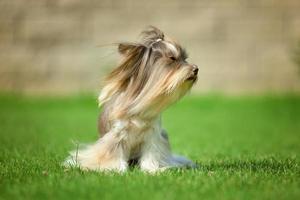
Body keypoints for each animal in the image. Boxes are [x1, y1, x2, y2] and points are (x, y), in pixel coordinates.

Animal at [64, 26, 198, 173]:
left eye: (185, 58)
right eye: (172, 58)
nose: (196, 69)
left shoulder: (153, 135)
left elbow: (151, 155)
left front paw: (152, 170)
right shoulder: (117, 134)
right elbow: (114, 153)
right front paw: (117, 170)